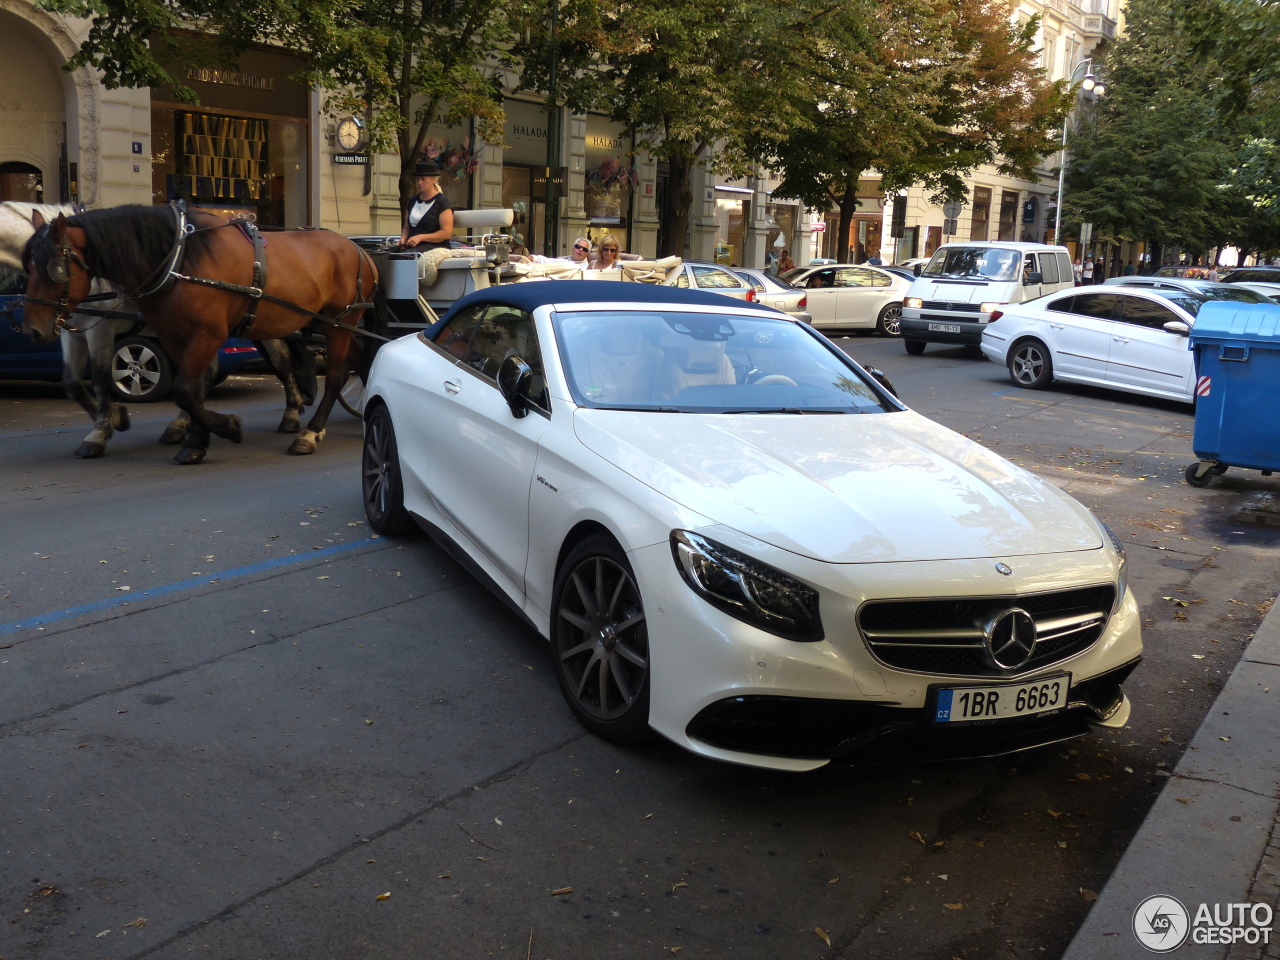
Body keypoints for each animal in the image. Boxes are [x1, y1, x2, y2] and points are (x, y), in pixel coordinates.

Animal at [21, 207, 378, 465]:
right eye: (27, 266)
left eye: (55, 269)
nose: (32, 329)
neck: (180, 260)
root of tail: (358, 249)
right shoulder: (173, 337)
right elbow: (188, 390)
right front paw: (195, 441)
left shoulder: (205, 334)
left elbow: (181, 389)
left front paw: (223, 428)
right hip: (325, 324)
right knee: (358, 360)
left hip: (339, 322)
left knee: (335, 375)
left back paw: (310, 434)